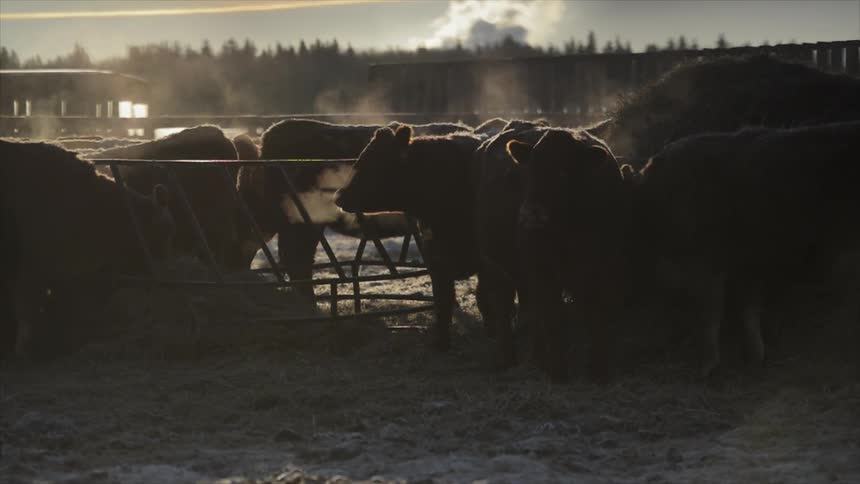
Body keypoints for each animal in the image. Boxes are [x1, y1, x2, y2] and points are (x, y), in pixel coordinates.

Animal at [334, 126, 483, 350]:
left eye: (375, 163)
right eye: (359, 161)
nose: (339, 196)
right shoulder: (436, 260)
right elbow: (442, 302)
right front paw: (440, 344)